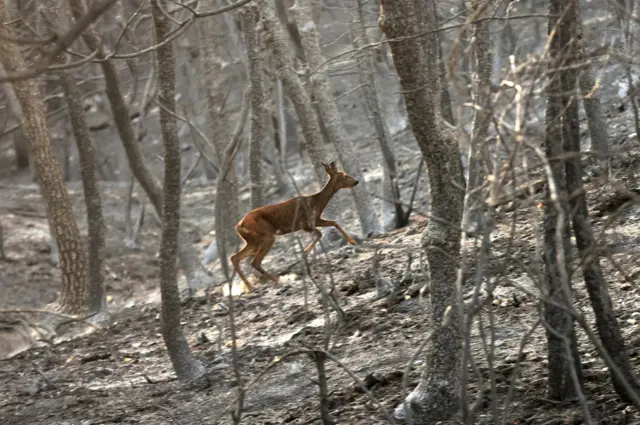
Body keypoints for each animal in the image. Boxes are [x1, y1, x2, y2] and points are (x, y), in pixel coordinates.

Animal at [230, 160, 360, 292]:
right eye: (345, 175)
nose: (356, 181)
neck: (316, 202)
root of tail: (238, 226)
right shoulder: (305, 223)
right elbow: (321, 232)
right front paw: (305, 252)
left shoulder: (315, 220)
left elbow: (333, 223)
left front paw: (352, 241)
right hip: (266, 235)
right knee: (254, 262)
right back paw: (278, 280)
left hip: (253, 241)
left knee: (235, 257)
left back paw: (250, 287)